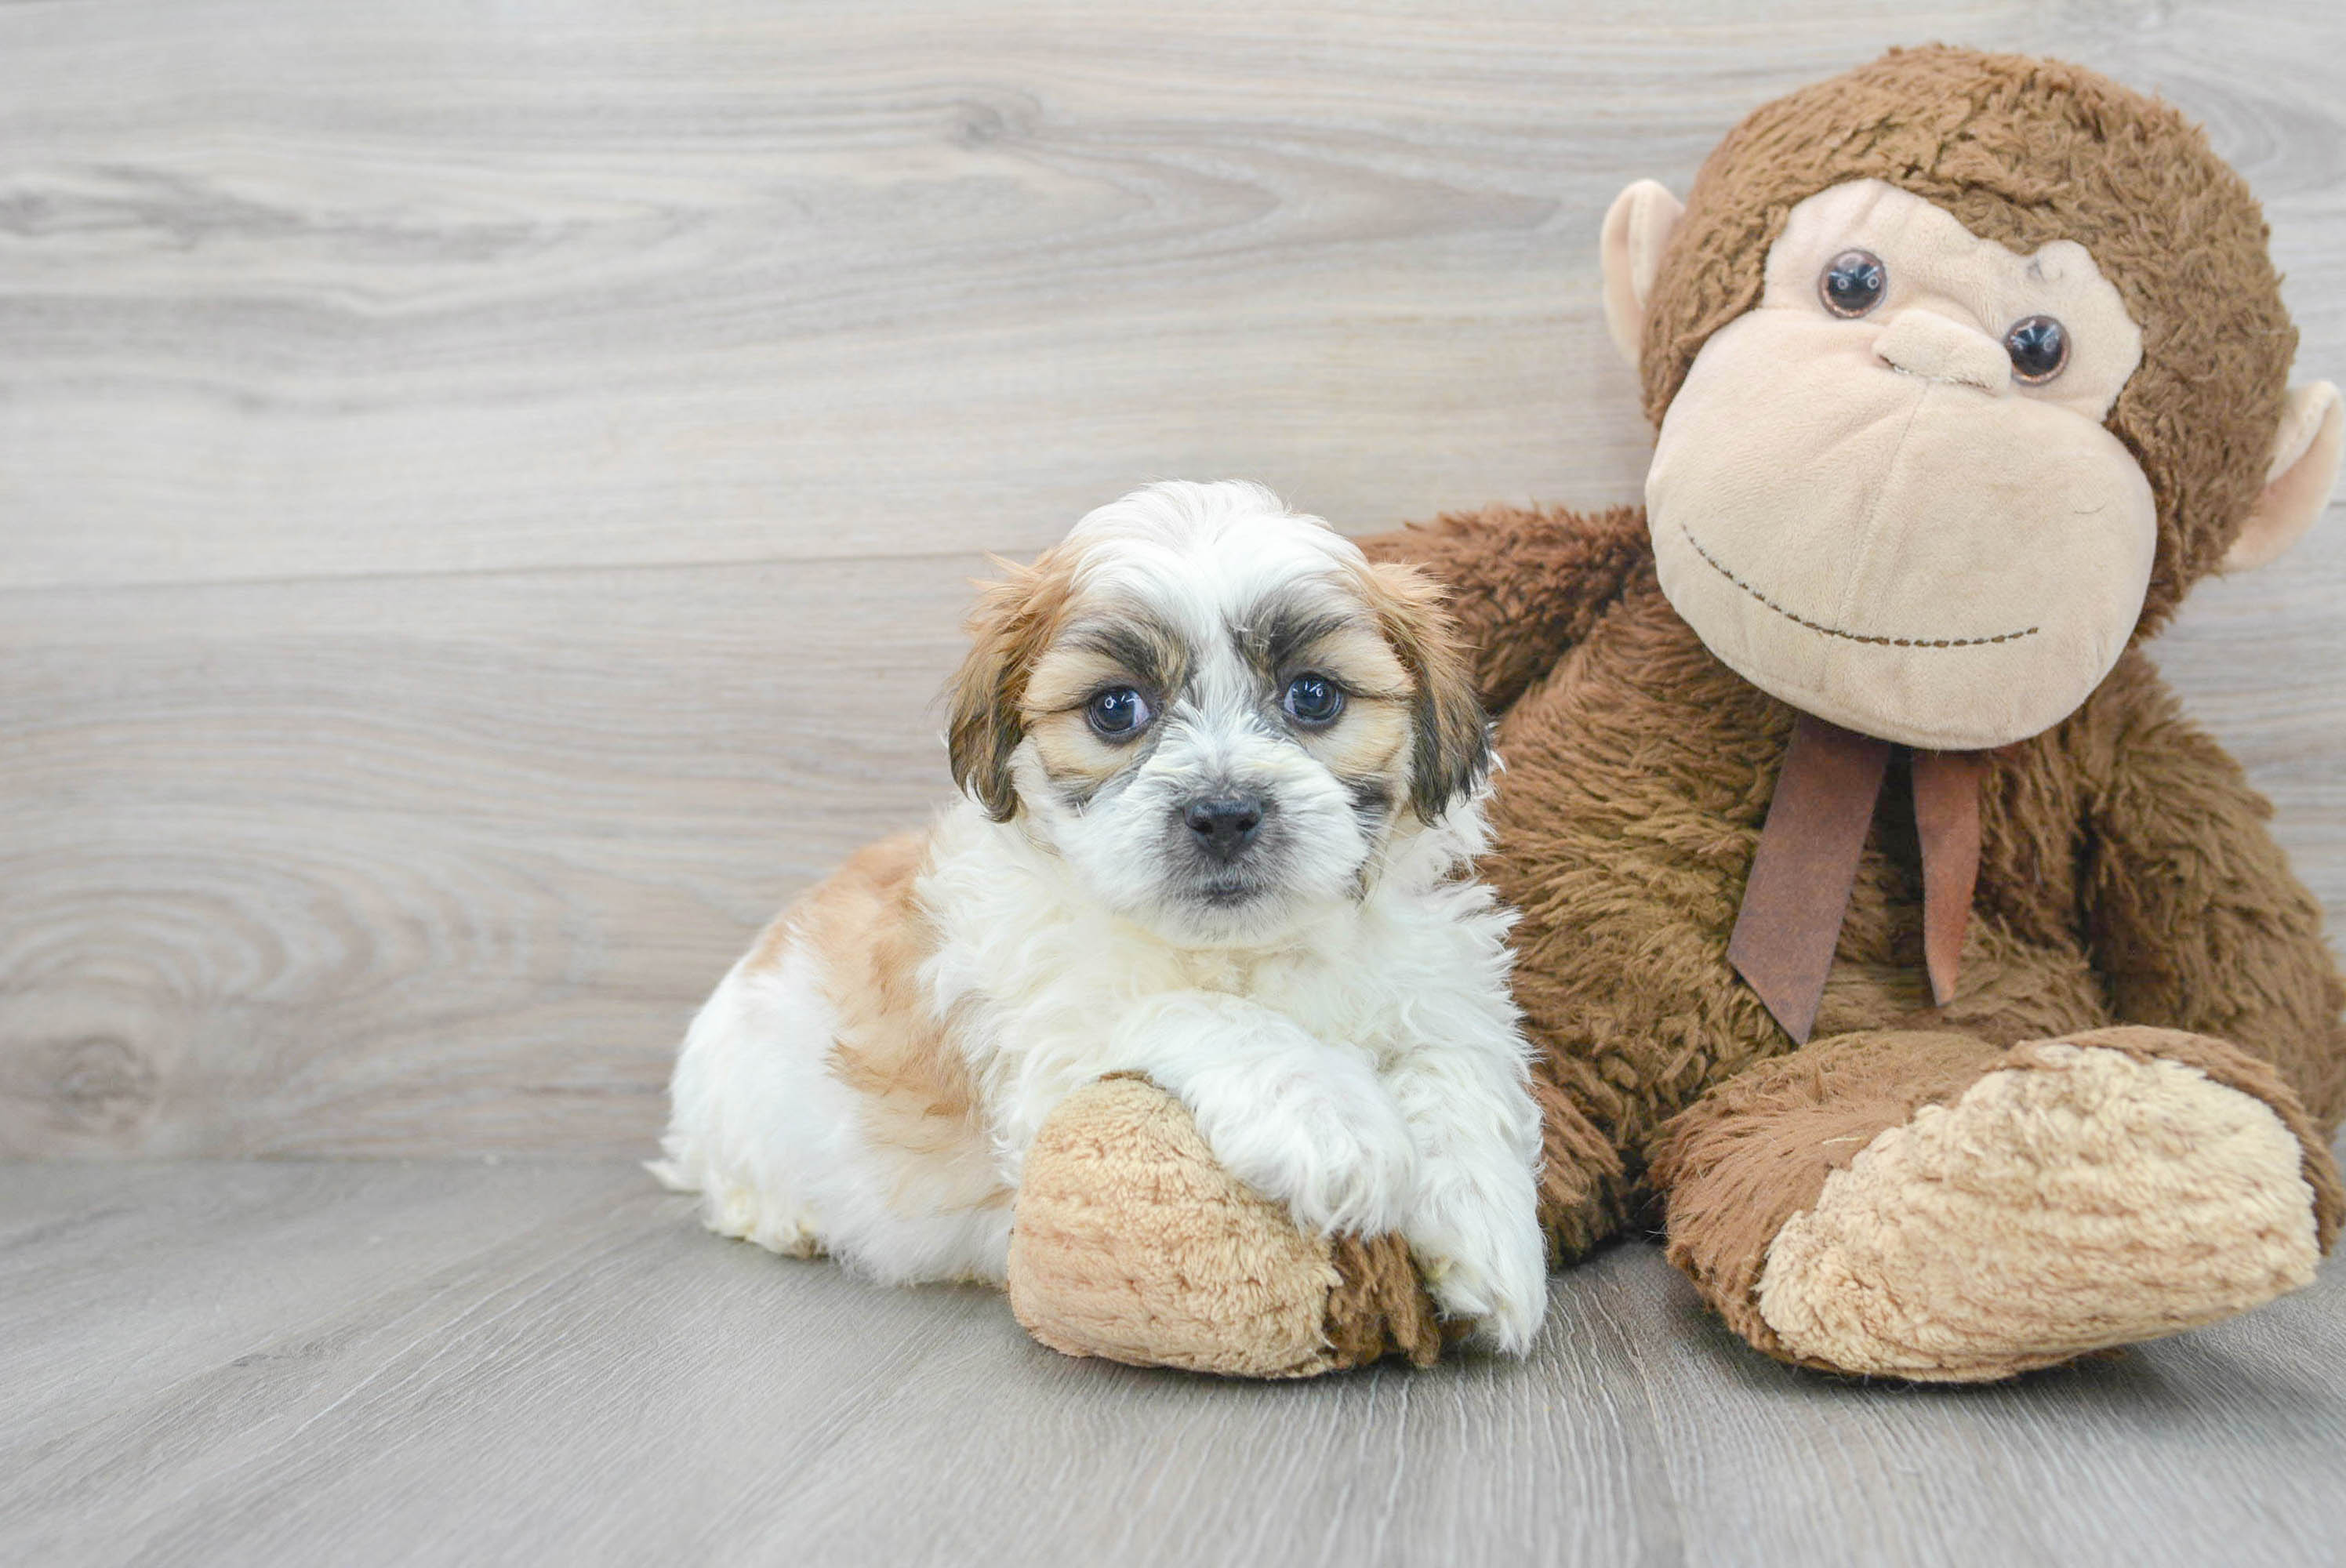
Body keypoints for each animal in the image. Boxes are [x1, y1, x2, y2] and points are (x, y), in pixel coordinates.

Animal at [652, 478, 1548, 1352]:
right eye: (1116, 708)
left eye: (1314, 695)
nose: (1223, 812)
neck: (1245, 951)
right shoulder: (1050, 1048)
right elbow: (1196, 1011)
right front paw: (1334, 1119)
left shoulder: (1437, 981)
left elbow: (1457, 1063)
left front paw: (1487, 1229)